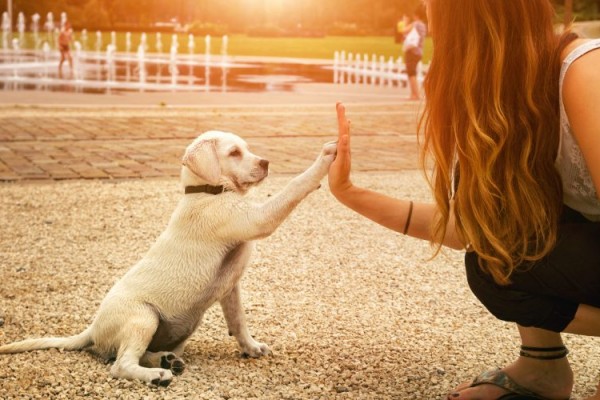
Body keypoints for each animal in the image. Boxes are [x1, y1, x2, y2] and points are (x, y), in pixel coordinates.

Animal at [0, 130, 338, 386]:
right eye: (234, 153)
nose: (266, 163)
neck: (206, 191)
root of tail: (92, 329)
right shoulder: (257, 219)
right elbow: (295, 186)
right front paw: (325, 157)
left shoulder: (231, 287)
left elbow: (238, 321)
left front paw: (251, 347)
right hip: (143, 317)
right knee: (120, 364)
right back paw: (157, 375)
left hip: (180, 329)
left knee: (132, 354)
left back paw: (166, 361)